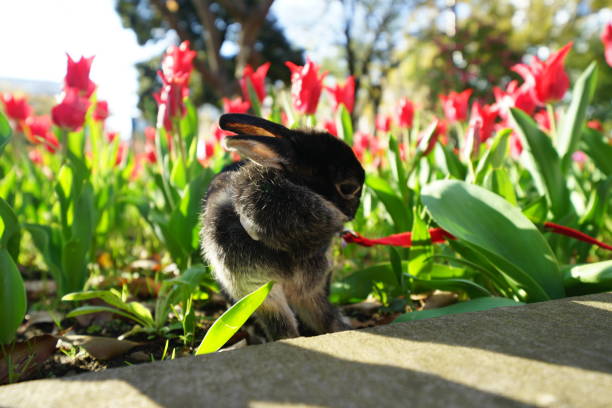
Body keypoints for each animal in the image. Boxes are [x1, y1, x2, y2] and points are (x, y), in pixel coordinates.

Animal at [201, 113, 364, 340]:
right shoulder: (259, 290)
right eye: (348, 188)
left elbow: (324, 315)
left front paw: (341, 329)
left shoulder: (313, 289)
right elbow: (282, 325)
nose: (354, 212)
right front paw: (292, 339)